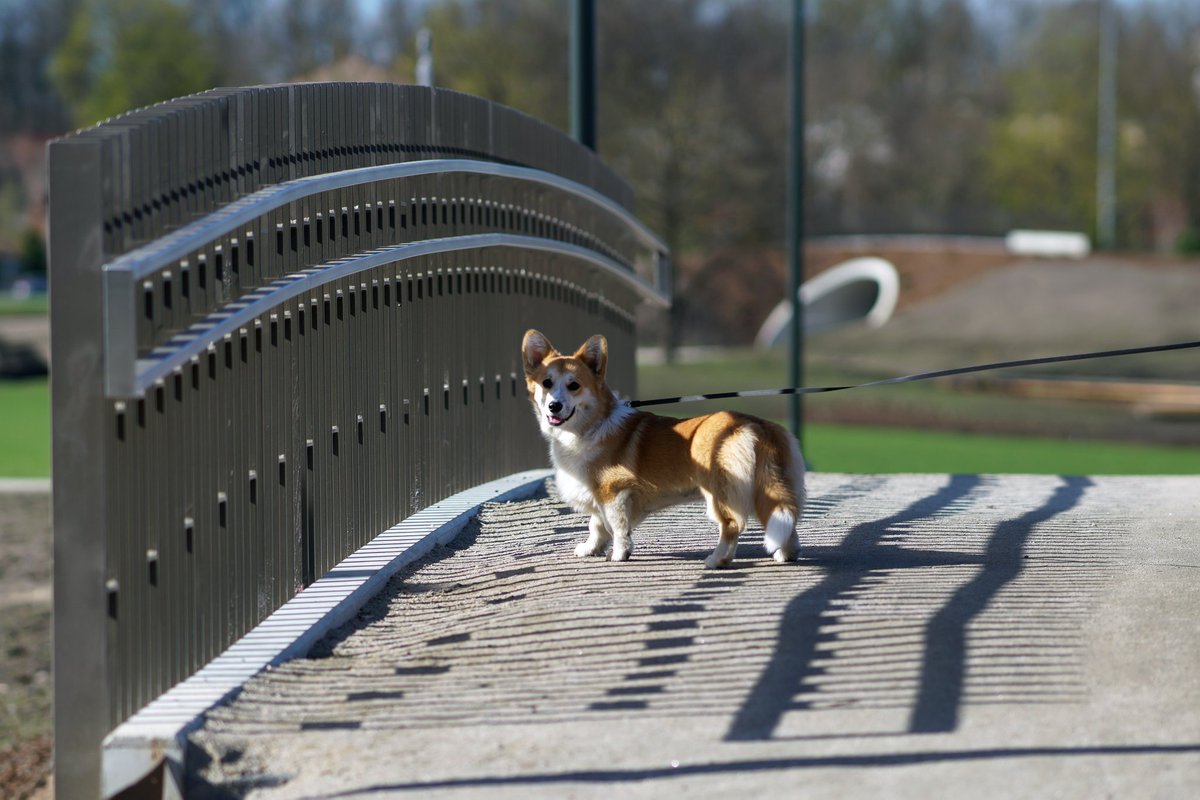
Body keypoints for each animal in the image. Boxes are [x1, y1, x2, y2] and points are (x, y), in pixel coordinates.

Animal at [520, 331, 801, 568]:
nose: (554, 406)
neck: (591, 425)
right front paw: (591, 549)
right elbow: (596, 526)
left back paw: (716, 560)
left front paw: (618, 555)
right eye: (546, 383)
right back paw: (786, 555)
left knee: (731, 526)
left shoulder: (613, 493)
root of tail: (757, 426)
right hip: (769, 487)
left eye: (574, 385)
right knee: (786, 521)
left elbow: (617, 528)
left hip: (721, 493)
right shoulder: (598, 494)